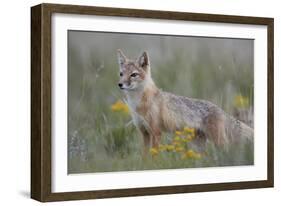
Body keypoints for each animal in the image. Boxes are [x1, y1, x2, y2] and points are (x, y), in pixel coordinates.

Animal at [116, 49, 252, 150]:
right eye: (121, 74)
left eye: (133, 75)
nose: (120, 84)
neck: (137, 103)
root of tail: (220, 109)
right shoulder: (144, 133)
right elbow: (145, 157)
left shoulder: (156, 132)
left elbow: (154, 155)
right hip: (199, 144)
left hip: (218, 142)